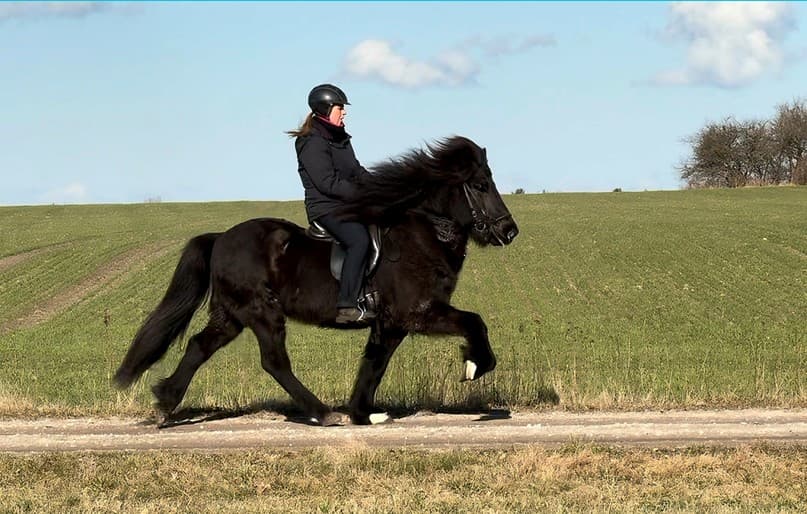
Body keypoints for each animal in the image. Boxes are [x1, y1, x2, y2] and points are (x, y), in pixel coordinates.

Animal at [113, 136, 519, 426]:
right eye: (480, 185)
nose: (509, 231)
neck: (423, 234)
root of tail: (221, 238)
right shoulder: (418, 313)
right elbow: (474, 322)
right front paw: (475, 364)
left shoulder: (390, 324)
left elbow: (375, 365)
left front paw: (364, 413)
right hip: (261, 311)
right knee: (274, 361)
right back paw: (322, 413)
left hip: (231, 315)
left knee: (199, 346)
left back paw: (165, 403)